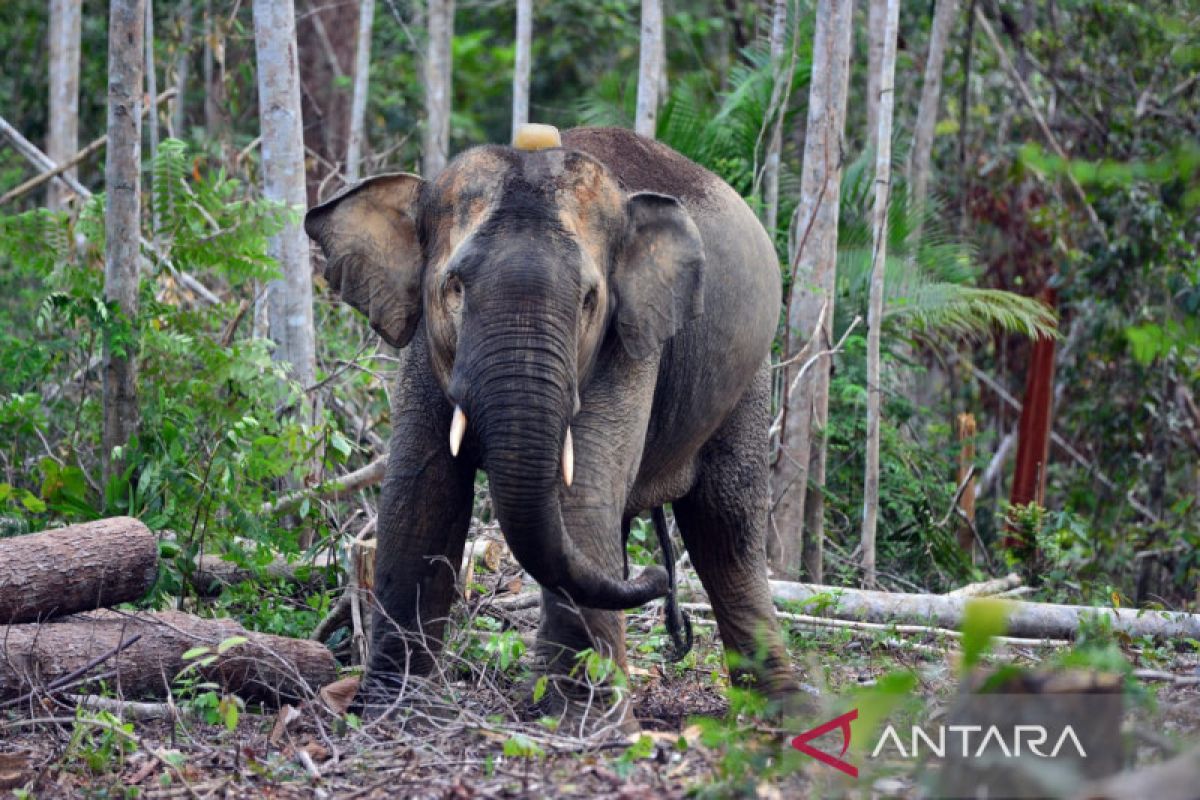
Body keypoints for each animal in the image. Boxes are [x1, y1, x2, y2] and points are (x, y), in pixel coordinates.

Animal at [304, 125, 801, 719]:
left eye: (589, 299)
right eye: (454, 286)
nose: (656, 578)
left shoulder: (629, 342)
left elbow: (579, 493)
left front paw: (571, 719)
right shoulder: (426, 345)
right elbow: (420, 492)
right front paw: (389, 710)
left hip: (750, 370)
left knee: (725, 523)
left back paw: (784, 712)